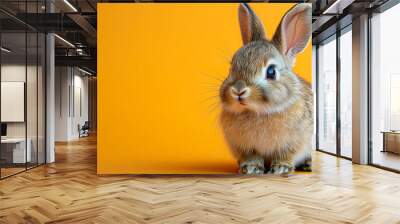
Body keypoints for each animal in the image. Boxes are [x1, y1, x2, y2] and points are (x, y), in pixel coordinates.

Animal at [220, 3, 314, 175]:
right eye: (231, 68)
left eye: (271, 71)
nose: (238, 90)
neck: (257, 112)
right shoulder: (246, 147)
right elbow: (252, 157)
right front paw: (251, 168)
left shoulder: (294, 142)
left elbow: (286, 155)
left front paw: (281, 168)